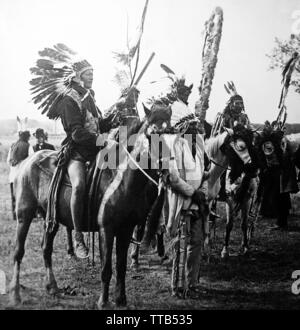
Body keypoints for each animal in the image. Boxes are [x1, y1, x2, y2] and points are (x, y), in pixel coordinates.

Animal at [8, 107, 171, 308]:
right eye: (152, 133)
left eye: (173, 131)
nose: (168, 169)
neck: (122, 178)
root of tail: (28, 162)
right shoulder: (106, 229)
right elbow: (106, 268)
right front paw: (103, 302)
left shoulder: (125, 230)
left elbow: (121, 267)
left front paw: (121, 300)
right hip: (25, 214)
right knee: (18, 251)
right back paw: (16, 294)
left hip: (51, 218)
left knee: (46, 249)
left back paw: (52, 287)